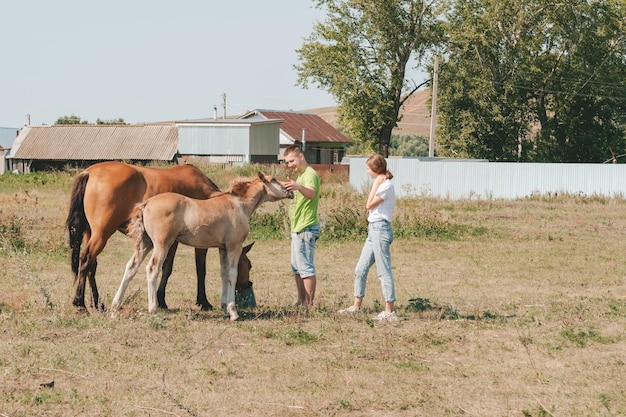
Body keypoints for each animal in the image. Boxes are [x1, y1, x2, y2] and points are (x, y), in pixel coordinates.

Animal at [65, 161, 224, 310]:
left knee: (91, 266)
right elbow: (199, 270)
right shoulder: (197, 243)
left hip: (91, 233)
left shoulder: (172, 241)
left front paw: (161, 300)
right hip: (102, 234)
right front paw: (203, 301)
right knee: (86, 259)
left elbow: (167, 268)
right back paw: (79, 303)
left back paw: (98, 304)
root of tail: (88, 172)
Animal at [111, 171, 292, 320]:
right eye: (274, 180)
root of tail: (146, 203)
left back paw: (115, 306)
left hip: (145, 243)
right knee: (152, 269)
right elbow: (232, 275)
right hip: (162, 244)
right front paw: (233, 312)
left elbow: (224, 274)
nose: (290, 191)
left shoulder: (222, 248)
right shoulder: (234, 246)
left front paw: (225, 308)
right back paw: (153, 309)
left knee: (131, 267)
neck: (239, 205)